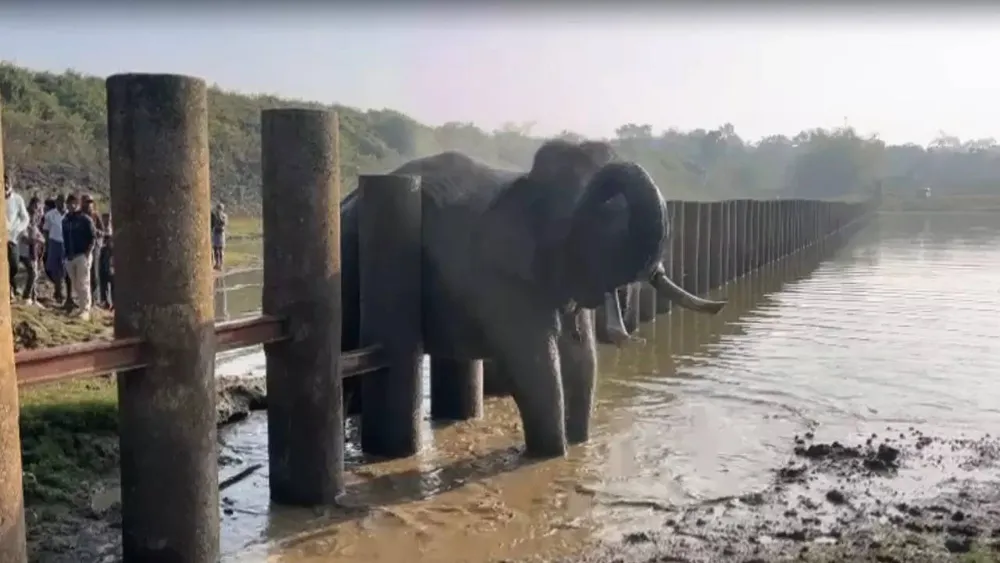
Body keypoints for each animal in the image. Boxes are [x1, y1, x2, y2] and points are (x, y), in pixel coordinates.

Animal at [340, 140, 724, 458]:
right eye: (602, 218)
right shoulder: (500, 276)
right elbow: (536, 364)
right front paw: (552, 457)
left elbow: (581, 358)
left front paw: (580, 444)